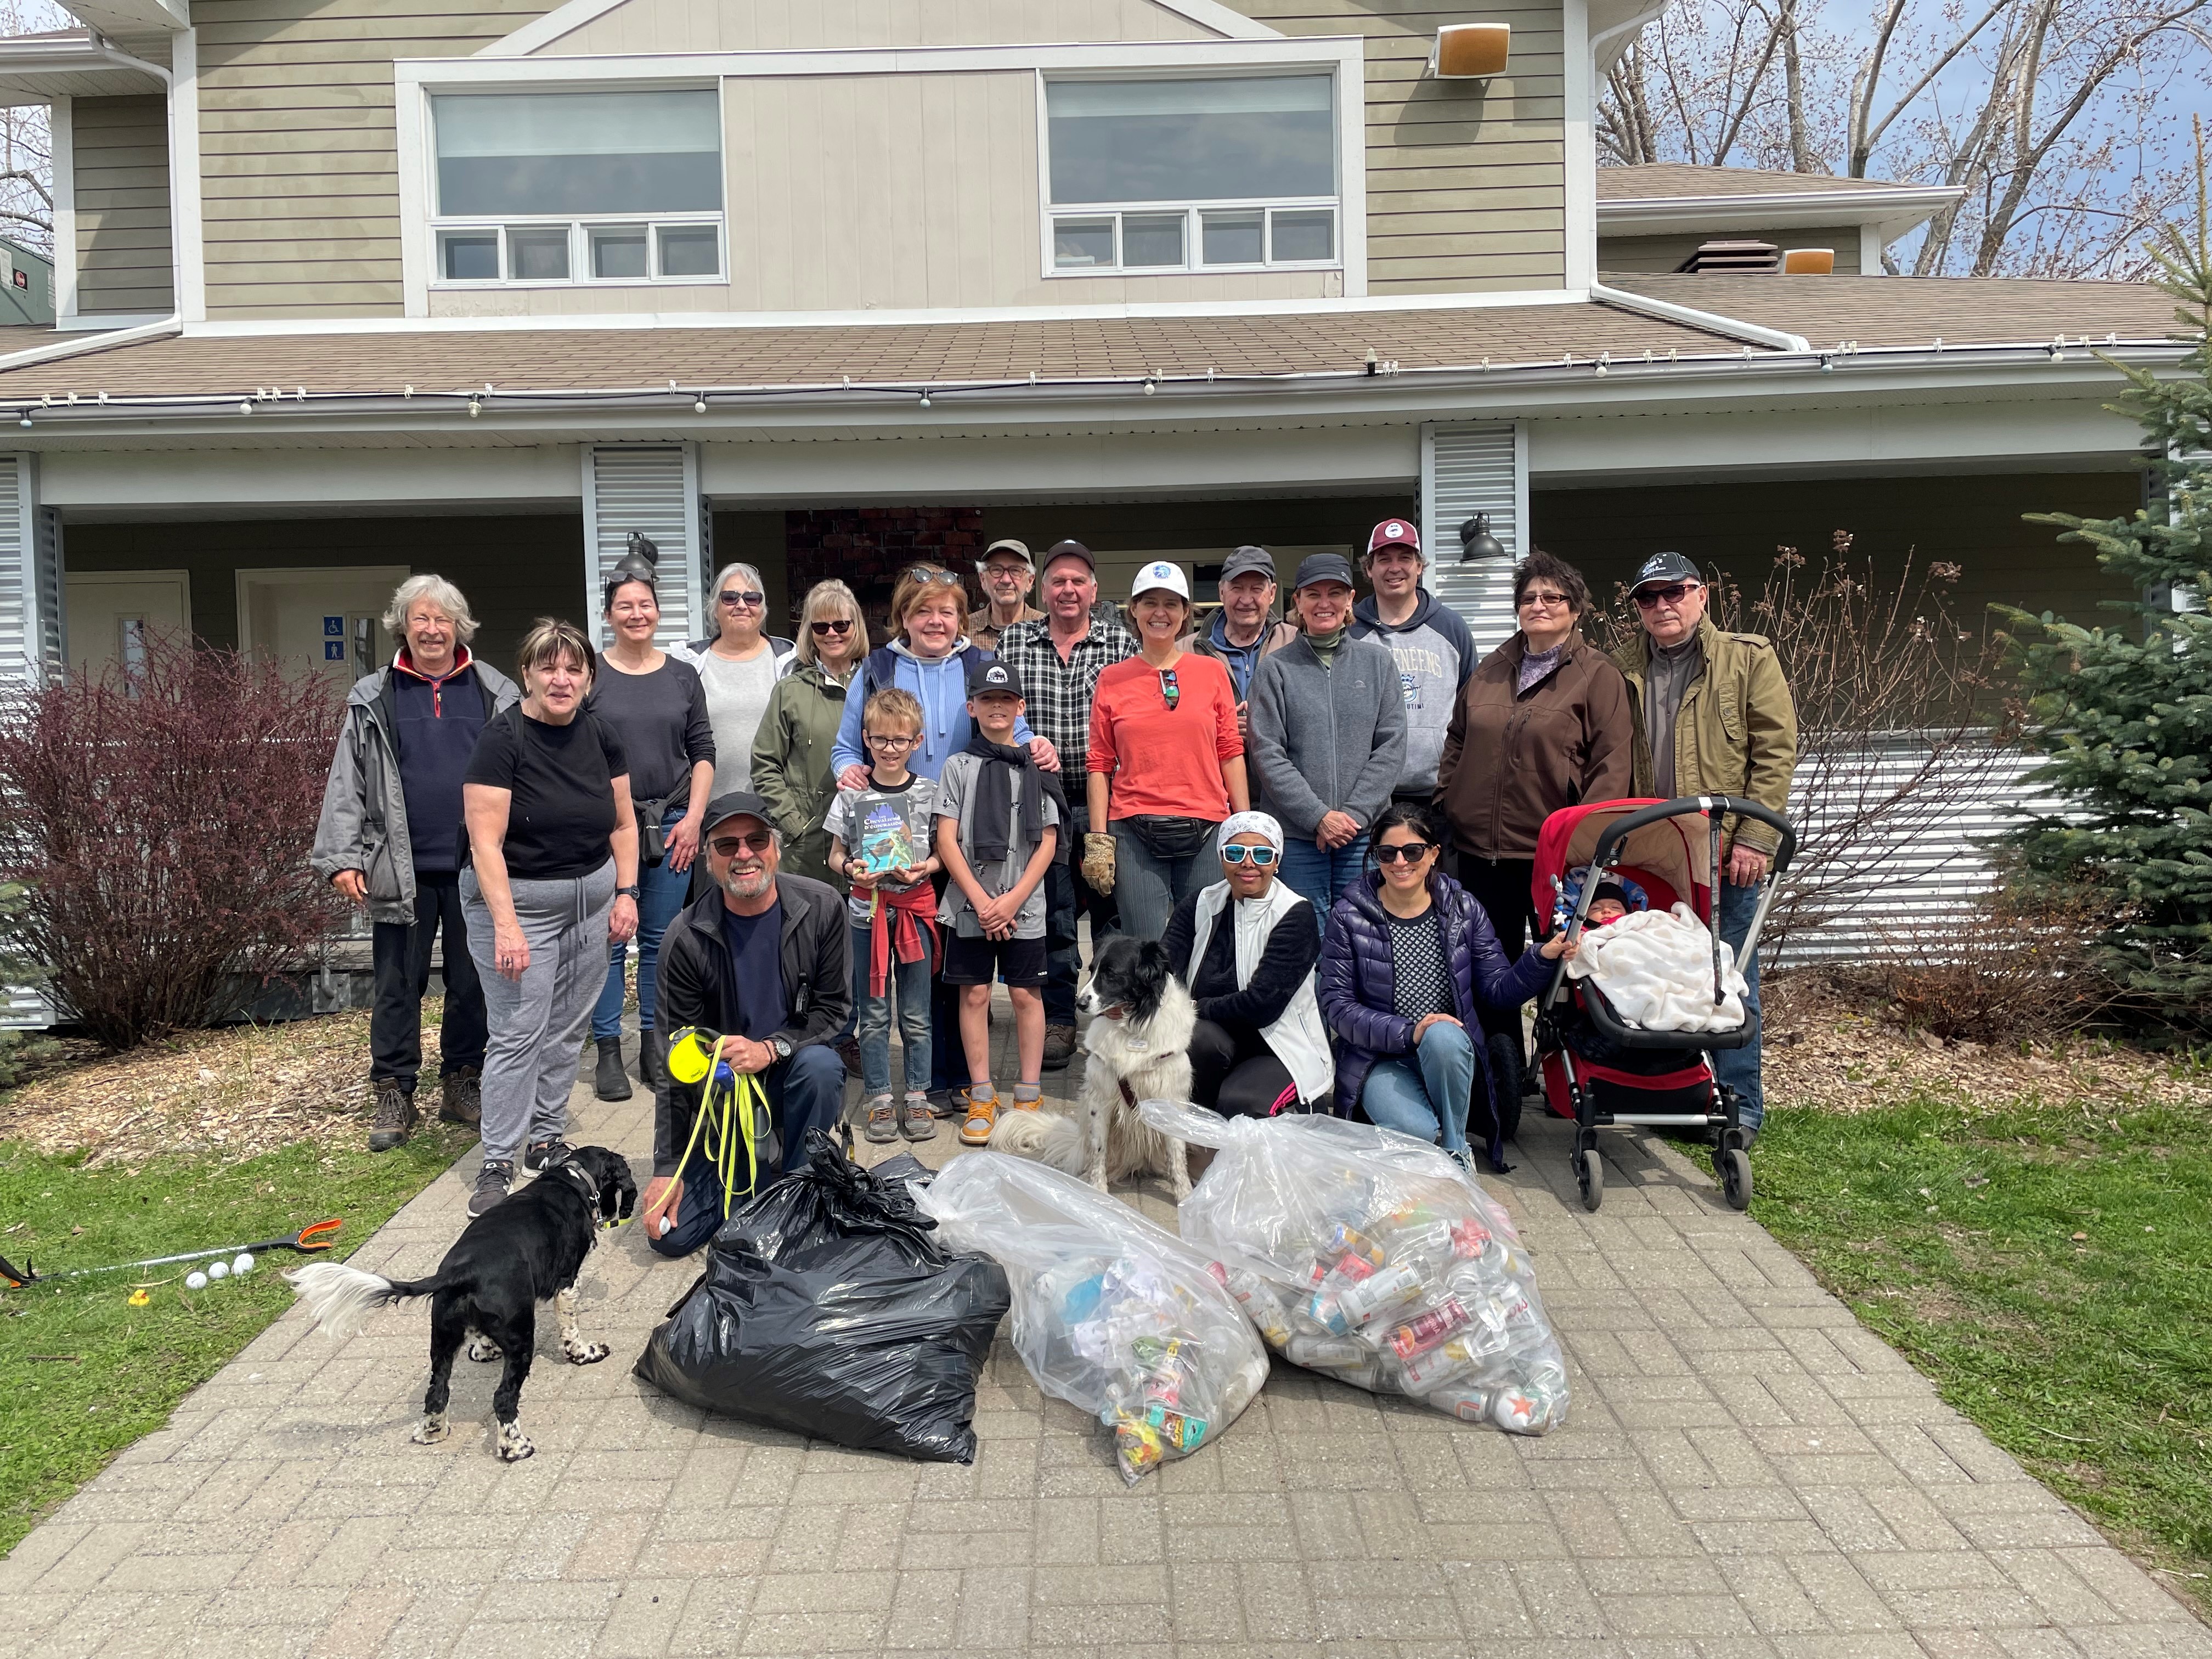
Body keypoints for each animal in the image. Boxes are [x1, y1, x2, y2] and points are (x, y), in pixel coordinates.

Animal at [287, 1144, 637, 1461]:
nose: (611, 1216)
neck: (568, 1178)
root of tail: (464, 1271)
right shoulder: (567, 1282)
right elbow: (571, 1328)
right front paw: (586, 1353)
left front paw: (485, 1349)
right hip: (522, 1339)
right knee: (503, 1399)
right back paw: (515, 1448)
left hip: (442, 1339)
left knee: (436, 1394)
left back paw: (432, 1433)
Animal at [990, 935, 1194, 1199]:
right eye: (1092, 969)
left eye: (1111, 973)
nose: (1079, 1003)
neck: (1131, 1028)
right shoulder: (1101, 1099)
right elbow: (1099, 1152)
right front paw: (1099, 1192)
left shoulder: (1170, 1098)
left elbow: (1177, 1155)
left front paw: (1186, 1195)